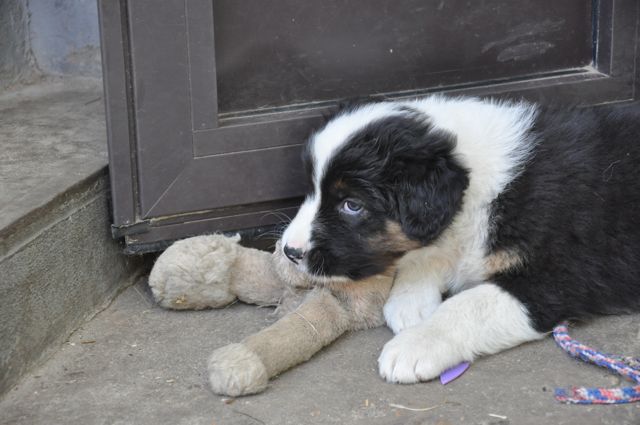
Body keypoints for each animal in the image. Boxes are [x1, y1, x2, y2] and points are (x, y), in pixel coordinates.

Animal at [280, 97, 640, 382]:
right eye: (311, 190)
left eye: (351, 205)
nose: (289, 251)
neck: (487, 191)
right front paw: (411, 301)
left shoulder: (554, 277)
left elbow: (469, 304)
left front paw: (414, 345)